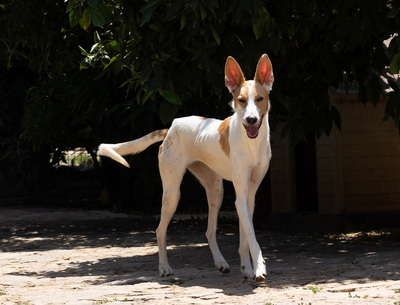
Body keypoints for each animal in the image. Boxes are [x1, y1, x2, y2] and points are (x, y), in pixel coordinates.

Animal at [99, 52, 276, 280]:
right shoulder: (241, 195)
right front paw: (259, 267)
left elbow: (246, 234)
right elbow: (252, 237)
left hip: (215, 190)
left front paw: (247, 268)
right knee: (160, 230)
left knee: (209, 230)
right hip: (172, 193)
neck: (251, 143)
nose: (251, 119)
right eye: (241, 100)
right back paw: (164, 267)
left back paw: (220, 263)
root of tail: (171, 127)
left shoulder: (249, 196)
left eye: (260, 99)